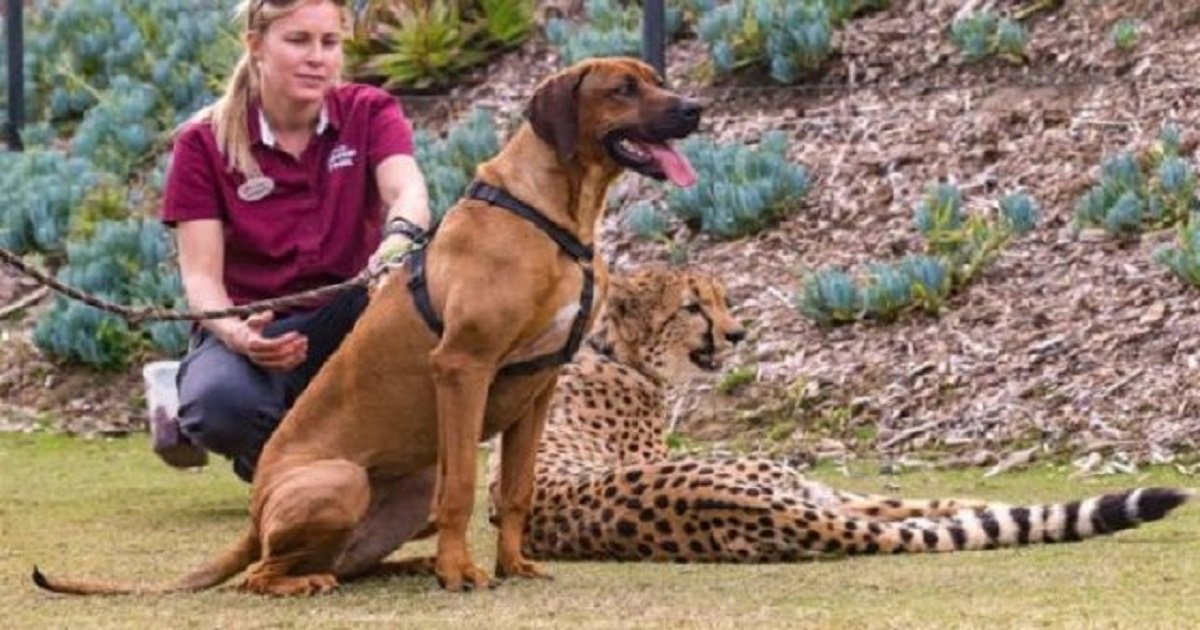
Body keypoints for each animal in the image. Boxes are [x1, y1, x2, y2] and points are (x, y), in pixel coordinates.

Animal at [32, 57, 700, 595]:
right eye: (623, 89)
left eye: (656, 79)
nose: (693, 108)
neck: (551, 216)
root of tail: (253, 518)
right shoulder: (462, 368)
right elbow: (464, 488)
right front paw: (459, 573)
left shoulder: (539, 387)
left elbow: (516, 491)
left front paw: (511, 565)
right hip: (341, 479)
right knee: (260, 575)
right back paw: (315, 581)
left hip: (410, 484)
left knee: (352, 561)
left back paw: (407, 564)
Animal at [487, 265, 1190, 559]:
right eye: (692, 306)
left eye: (723, 298)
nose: (737, 333)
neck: (613, 350)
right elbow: (907, 503)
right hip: (780, 478)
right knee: (899, 513)